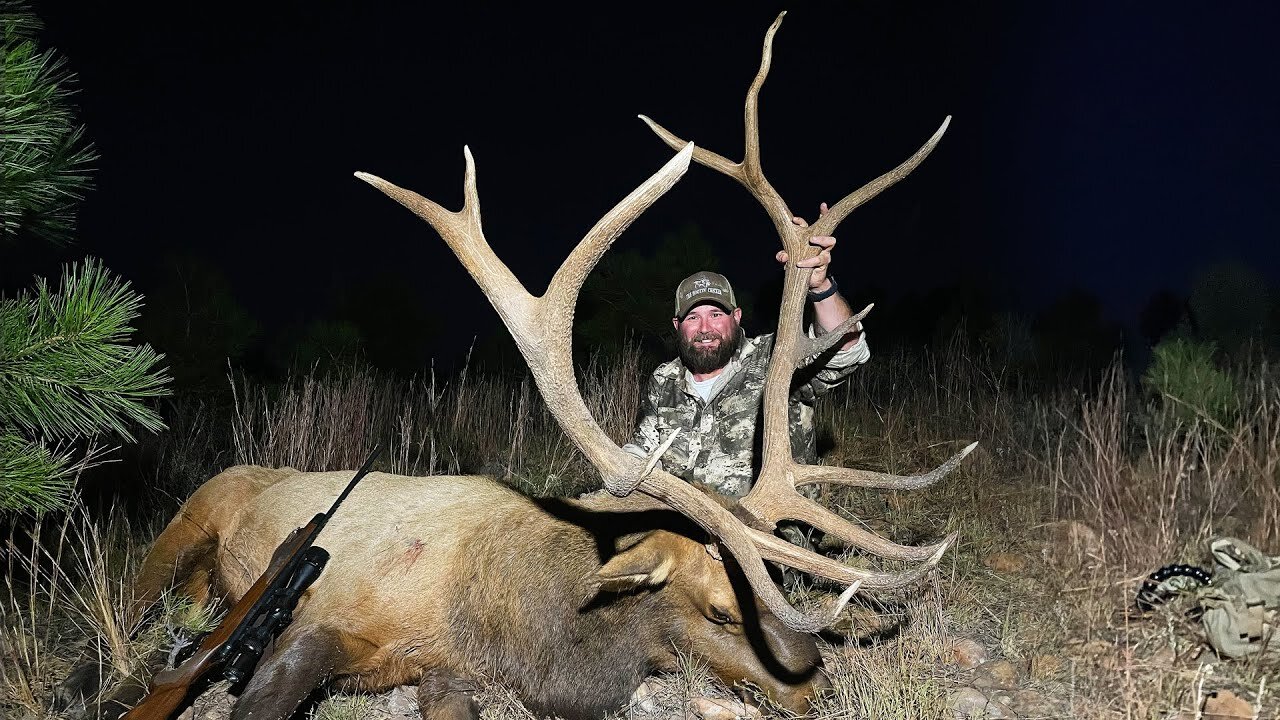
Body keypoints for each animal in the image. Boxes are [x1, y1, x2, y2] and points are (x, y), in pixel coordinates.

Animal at [70, 11, 967, 717]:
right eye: (722, 612)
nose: (819, 685)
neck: (507, 620)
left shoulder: (449, 675)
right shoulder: (322, 621)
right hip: (182, 528)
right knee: (122, 617)